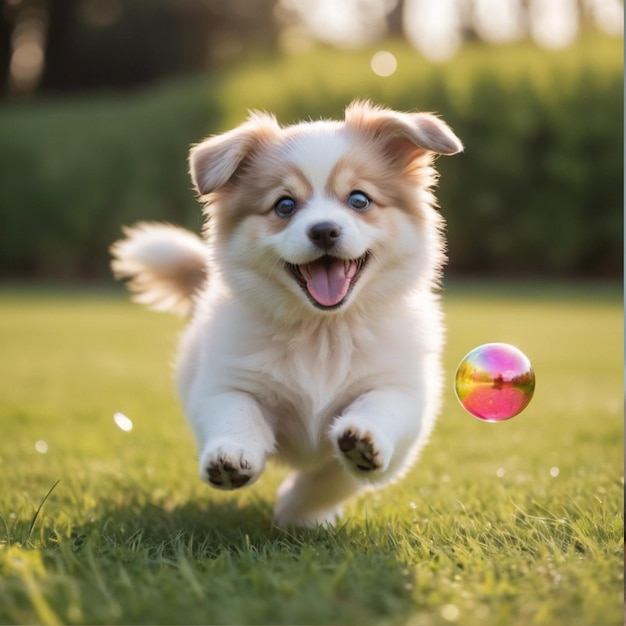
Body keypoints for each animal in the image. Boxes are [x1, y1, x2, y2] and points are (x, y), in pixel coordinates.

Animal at [112, 100, 460, 524]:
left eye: (359, 200)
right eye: (285, 205)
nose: (324, 230)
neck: (323, 331)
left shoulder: (402, 393)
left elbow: (343, 461)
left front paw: (304, 506)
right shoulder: (226, 382)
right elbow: (237, 413)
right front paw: (231, 457)